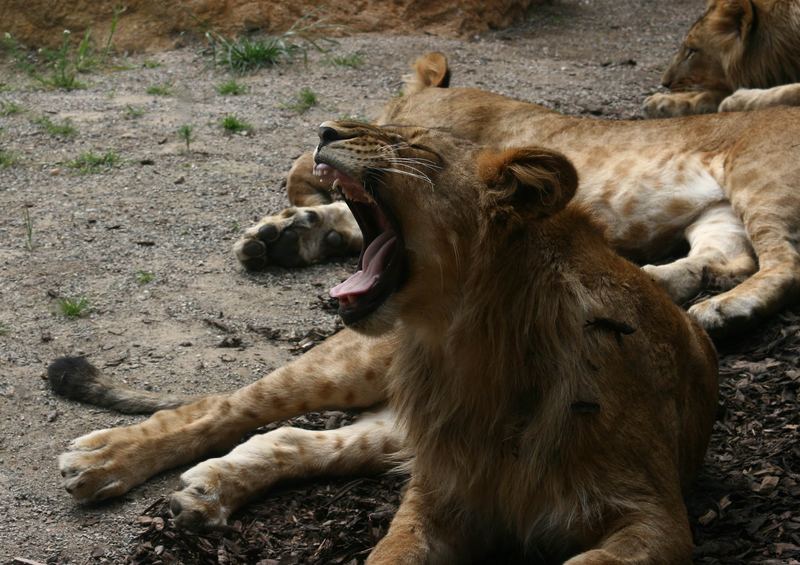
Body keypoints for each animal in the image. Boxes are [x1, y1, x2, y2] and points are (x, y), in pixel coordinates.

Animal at [53, 118, 720, 560]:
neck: (469, 357)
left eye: (413, 146)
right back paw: (105, 459)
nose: (324, 128)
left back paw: (206, 492)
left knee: (296, 440)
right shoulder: (433, 499)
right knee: (227, 407)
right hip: (347, 365)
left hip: (393, 427)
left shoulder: (655, 515)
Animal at [644, 0, 800, 116]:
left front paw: (737, 100)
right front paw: (661, 101)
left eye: (692, 51)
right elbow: (711, 93)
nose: (664, 83)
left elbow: (789, 92)